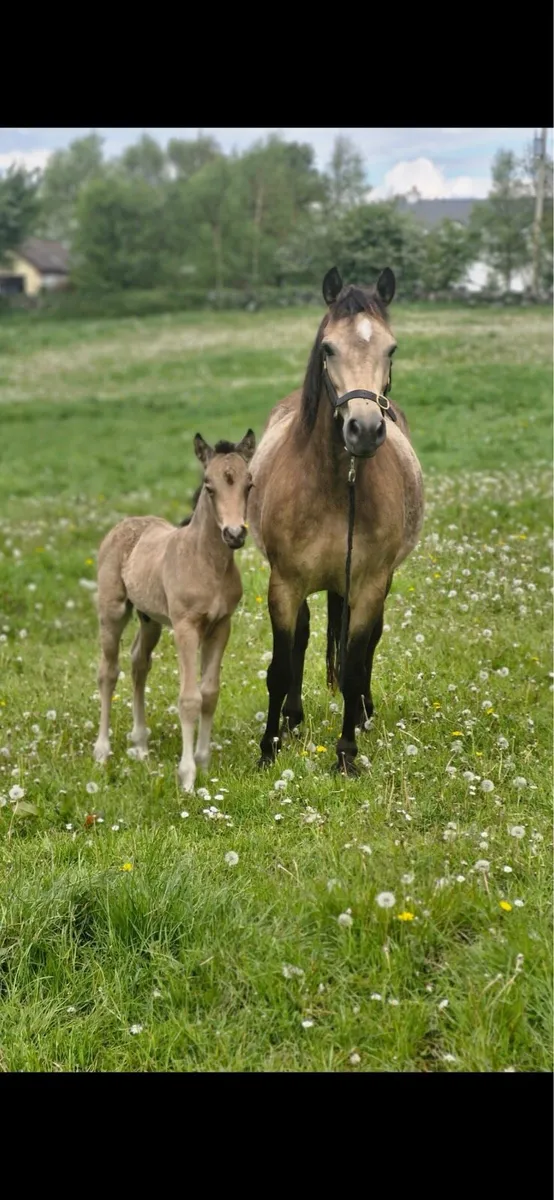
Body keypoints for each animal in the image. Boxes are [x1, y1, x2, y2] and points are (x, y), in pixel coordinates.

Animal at [93, 429, 255, 791]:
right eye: (209, 486)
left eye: (249, 483)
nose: (234, 534)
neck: (207, 563)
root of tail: (124, 524)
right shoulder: (185, 627)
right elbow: (190, 699)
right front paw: (187, 776)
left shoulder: (221, 626)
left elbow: (209, 693)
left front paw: (204, 762)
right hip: (113, 612)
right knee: (108, 671)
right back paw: (102, 749)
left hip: (149, 619)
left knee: (139, 663)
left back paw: (140, 744)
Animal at [247, 266, 424, 775]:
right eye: (328, 347)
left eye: (391, 348)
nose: (363, 430)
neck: (332, 485)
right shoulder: (284, 584)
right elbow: (281, 666)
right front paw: (269, 747)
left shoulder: (368, 584)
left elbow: (354, 664)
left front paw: (346, 751)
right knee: (303, 641)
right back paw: (292, 718)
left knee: (362, 651)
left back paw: (363, 714)